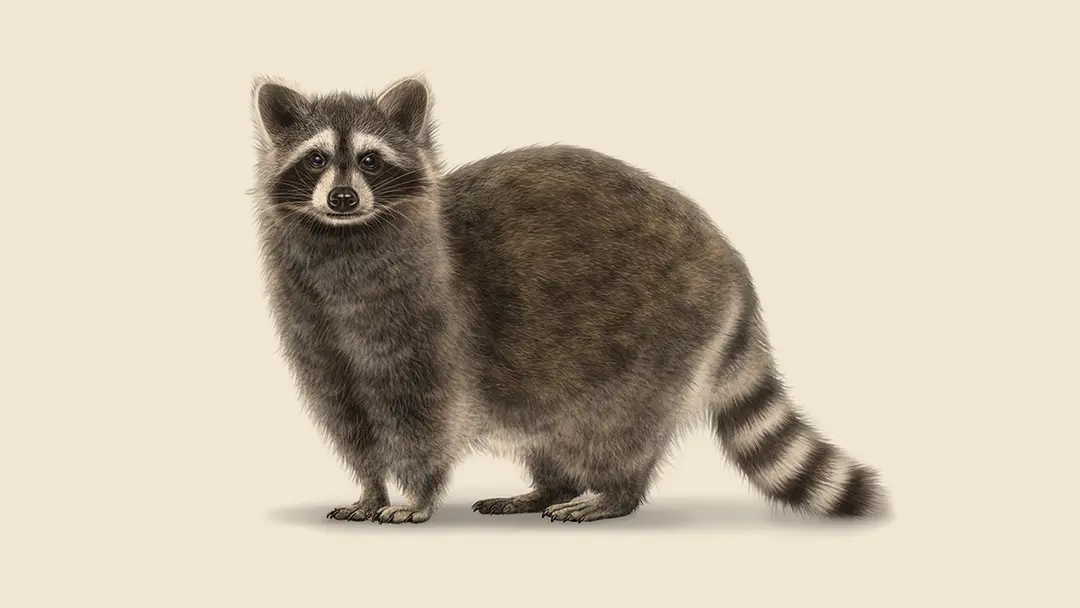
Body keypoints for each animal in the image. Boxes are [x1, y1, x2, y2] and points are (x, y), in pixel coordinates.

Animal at [249, 75, 888, 524]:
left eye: (370, 160)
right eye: (315, 159)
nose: (342, 197)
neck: (343, 243)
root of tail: (732, 265)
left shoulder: (432, 327)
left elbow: (424, 422)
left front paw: (412, 494)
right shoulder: (316, 332)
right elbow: (349, 421)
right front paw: (369, 487)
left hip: (657, 335)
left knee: (620, 428)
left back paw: (612, 493)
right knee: (552, 431)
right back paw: (546, 488)